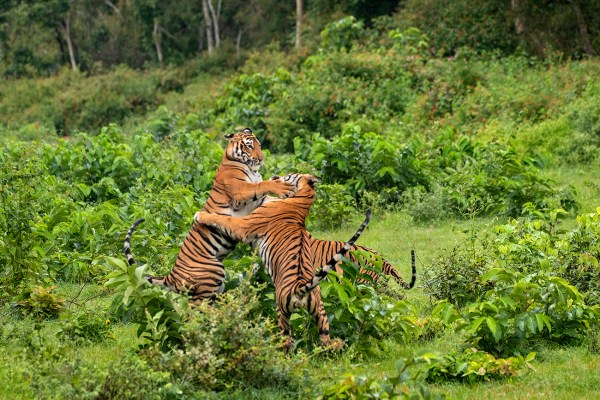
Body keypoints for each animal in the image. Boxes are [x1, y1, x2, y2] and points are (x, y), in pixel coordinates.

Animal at [125, 129, 298, 304]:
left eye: (259, 145)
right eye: (249, 146)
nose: (261, 159)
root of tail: (171, 276)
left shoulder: (258, 201)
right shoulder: (240, 192)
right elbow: (261, 185)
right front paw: (281, 186)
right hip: (212, 272)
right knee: (196, 307)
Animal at [195, 173, 370, 352]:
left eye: (289, 175)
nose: (275, 175)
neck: (303, 198)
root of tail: (301, 288)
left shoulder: (245, 225)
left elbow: (223, 219)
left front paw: (200, 215)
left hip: (281, 311)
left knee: (287, 341)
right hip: (321, 313)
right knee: (326, 341)